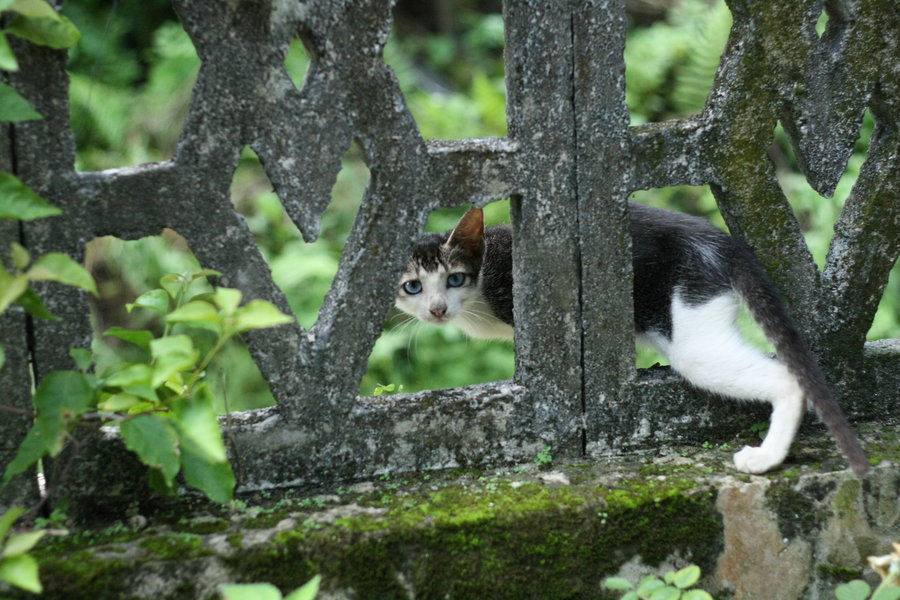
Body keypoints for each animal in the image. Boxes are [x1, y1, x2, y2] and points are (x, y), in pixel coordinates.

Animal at [396, 204, 872, 476]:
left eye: (455, 279)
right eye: (413, 287)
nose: (437, 309)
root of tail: (723, 241)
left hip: (692, 319)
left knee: (785, 378)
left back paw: (766, 457)